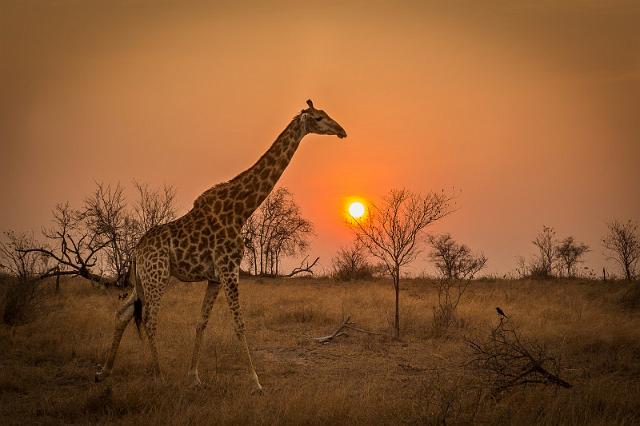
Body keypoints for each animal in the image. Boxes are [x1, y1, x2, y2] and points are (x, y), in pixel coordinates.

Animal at [95, 100, 348, 392]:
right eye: (319, 118)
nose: (342, 131)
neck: (241, 210)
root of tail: (136, 251)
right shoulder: (229, 268)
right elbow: (239, 324)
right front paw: (256, 382)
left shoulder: (214, 277)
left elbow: (201, 322)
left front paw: (194, 376)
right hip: (157, 276)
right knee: (149, 319)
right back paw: (159, 376)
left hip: (143, 278)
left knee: (123, 311)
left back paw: (104, 371)